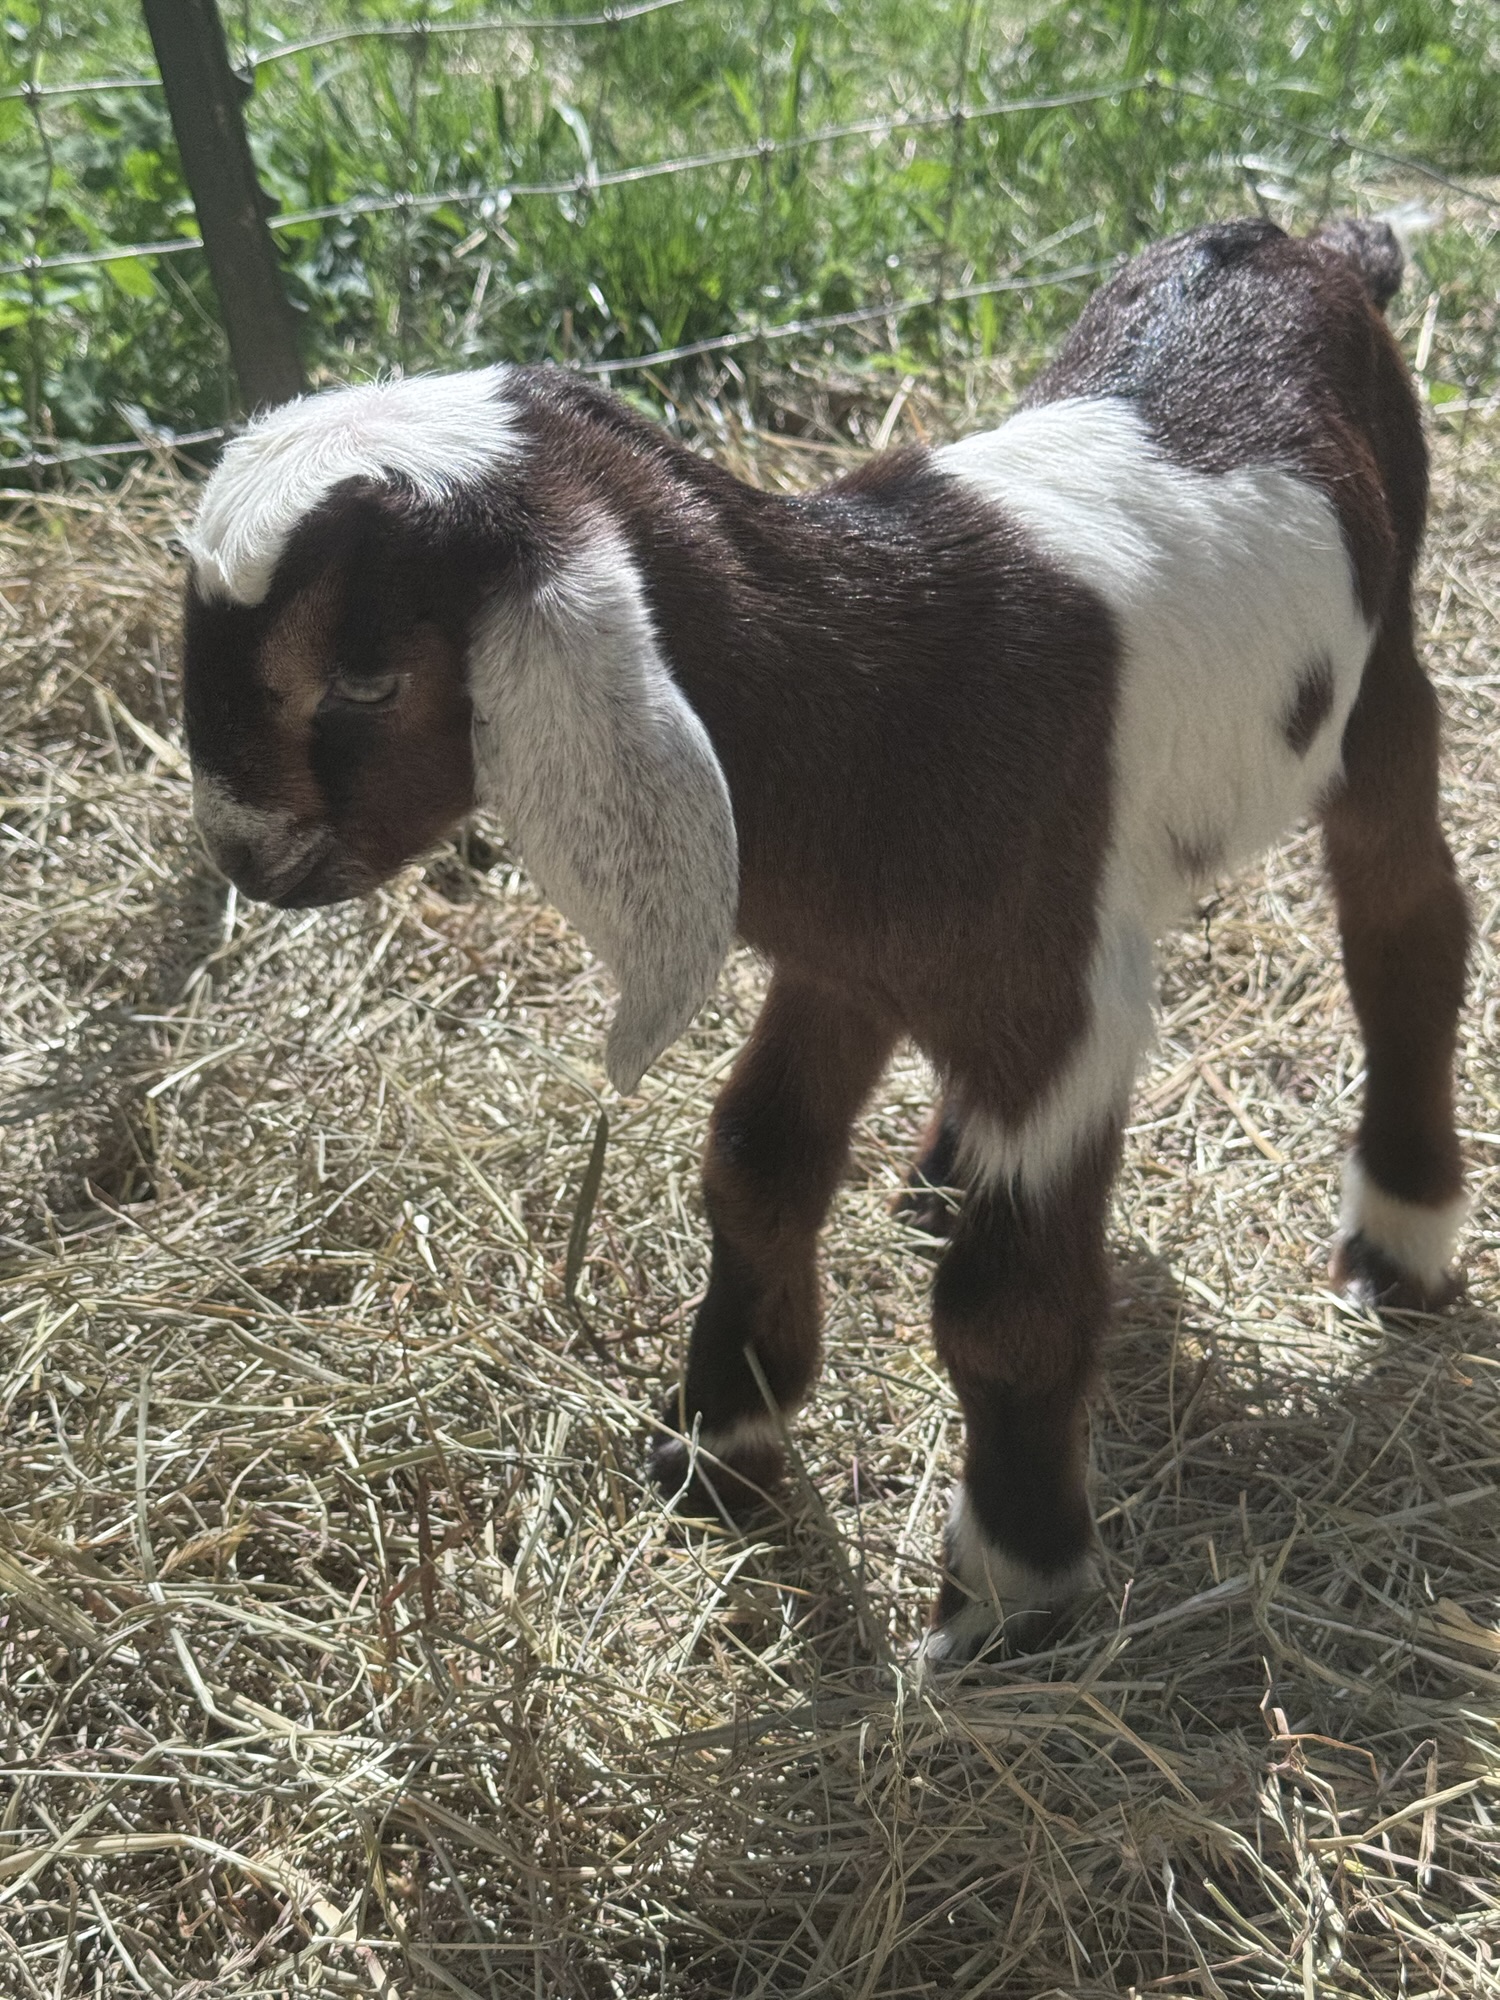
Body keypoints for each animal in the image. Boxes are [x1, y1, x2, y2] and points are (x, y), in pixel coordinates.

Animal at [180, 217, 1468, 1661]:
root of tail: (1308, 243)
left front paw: (1014, 1586)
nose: (242, 854)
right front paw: (719, 1441)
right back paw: (946, 1167)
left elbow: (1005, 1303)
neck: (873, 689)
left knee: (1408, 924)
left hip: (1384, 670)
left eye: (364, 677)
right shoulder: (844, 962)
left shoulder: (1052, 1007)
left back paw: (1404, 1228)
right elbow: (757, 1160)